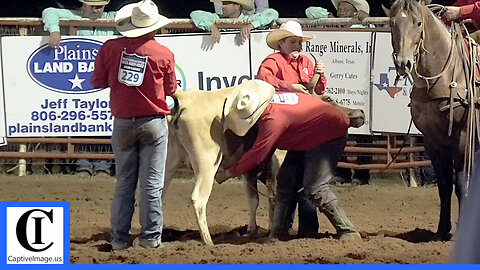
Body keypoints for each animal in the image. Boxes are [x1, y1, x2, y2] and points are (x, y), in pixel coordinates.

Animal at [388, 0, 470, 240]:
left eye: (418, 23)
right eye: (392, 23)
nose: (403, 63)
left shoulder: (462, 138)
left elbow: (460, 183)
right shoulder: (432, 141)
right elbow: (444, 185)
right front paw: (442, 230)